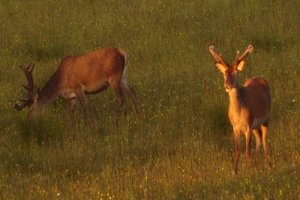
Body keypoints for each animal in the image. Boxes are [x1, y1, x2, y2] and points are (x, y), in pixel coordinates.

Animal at [209, 44, 272, 175]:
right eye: (224, 74)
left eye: (236, 73)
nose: (227, 85)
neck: (238, 114)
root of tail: (260, 78)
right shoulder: (235, 127)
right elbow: (237, 151)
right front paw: (235, 172)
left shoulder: (248, 125)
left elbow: (247, 151)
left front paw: (249, 170)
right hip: (255, 125)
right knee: (259, 137)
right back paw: (257, 164)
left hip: (266, 117)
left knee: (264, 139)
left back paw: (268, 165)